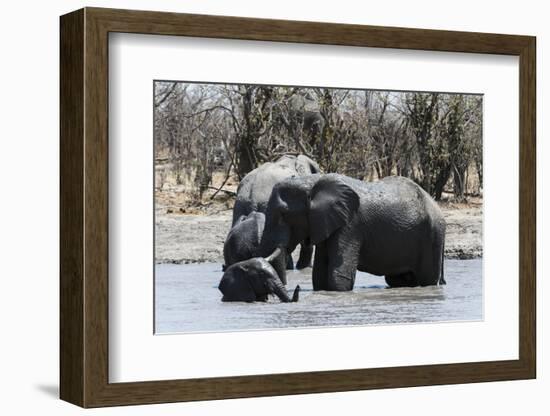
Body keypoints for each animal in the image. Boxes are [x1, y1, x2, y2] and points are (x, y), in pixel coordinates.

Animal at [258, 174, 448, 290]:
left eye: (283, 214)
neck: (315, 181)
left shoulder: (350, 224)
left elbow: (338, 278)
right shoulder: (326, 222)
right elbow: (319, 276)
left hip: (432, 235)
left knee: (427, 279)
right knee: (399, 280)